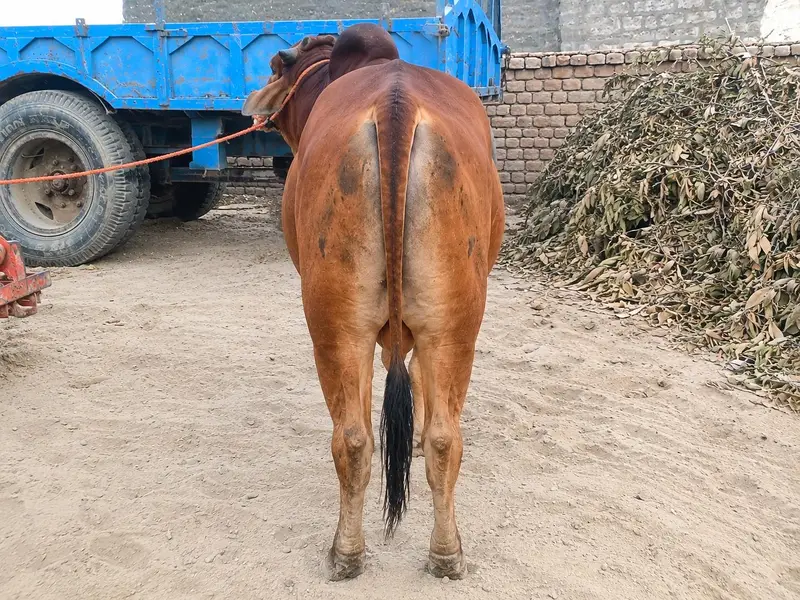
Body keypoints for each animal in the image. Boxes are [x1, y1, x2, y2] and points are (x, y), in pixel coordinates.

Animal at [242, 23, 505, 580]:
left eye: (275, 66)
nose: (253, 102)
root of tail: (394, 102)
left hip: (347, 326)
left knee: (365, 437)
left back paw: (369, 552)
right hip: (443, 327)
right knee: (421, 437)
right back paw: (419, 552)